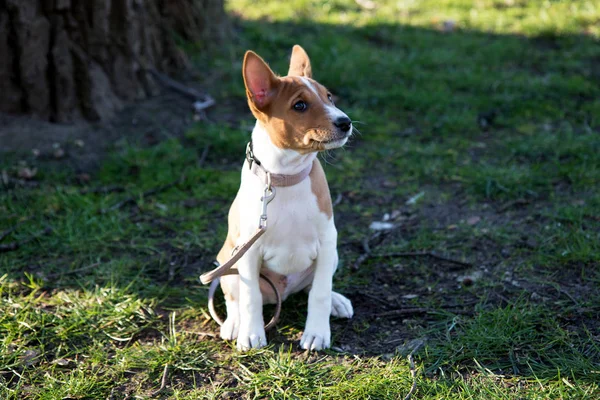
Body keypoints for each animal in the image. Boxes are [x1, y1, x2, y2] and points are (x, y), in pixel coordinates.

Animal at [216, 44, 354, 350]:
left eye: (329, 96)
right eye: (299, 105)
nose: (345, 122)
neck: (285, 176)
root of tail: (283, 291)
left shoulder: (328, 241)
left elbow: (319, 293)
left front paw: (317, 333)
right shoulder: (248, 249)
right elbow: (251, 299)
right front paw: (251, 334)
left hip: (331, 257)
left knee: (314, 286)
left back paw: (337, 301)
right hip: (228, 262)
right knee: (234, 298)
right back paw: (234, 324)